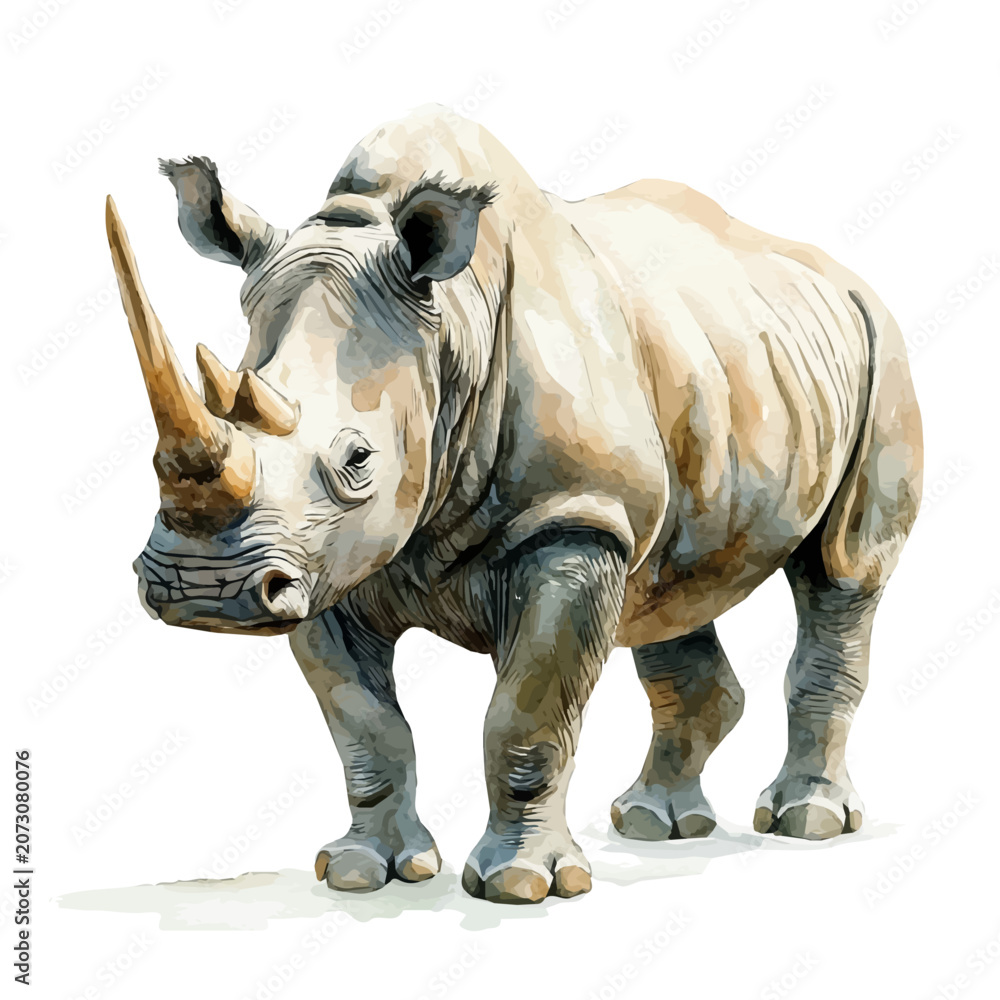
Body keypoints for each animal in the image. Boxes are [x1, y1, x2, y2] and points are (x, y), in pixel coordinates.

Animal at [105, 105, 922, 905]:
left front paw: (524, 885)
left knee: (841, 573)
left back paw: (805, 820)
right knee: (670, 588)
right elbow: (364, 725)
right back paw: (655, 824)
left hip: (882, 347)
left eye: (358, 460)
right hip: (717, 373)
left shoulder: (569, 522)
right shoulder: (321, 556)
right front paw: (362, 872)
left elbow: (527, 715)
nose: (206, 591)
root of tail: (841, 275)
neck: (448, 330)